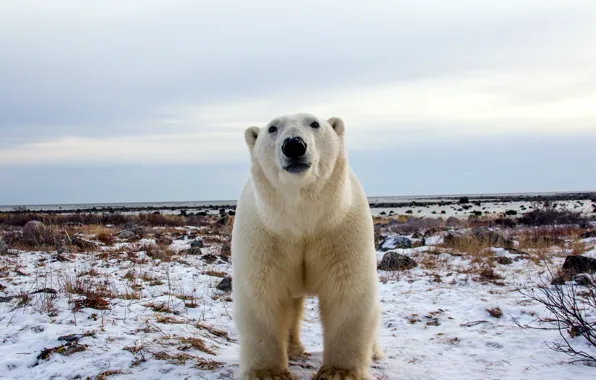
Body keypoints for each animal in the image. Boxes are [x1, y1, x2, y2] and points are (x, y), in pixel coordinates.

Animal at [230, 113, 384, 380]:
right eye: (272, 128)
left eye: (315, 123)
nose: (294, 145)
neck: (302, 222)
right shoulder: (265, 236)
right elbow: (263, 294)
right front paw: (268, 373)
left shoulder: (340, 231)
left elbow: (347, 291)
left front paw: (339, 373)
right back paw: (293, 349)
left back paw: (373, 352)